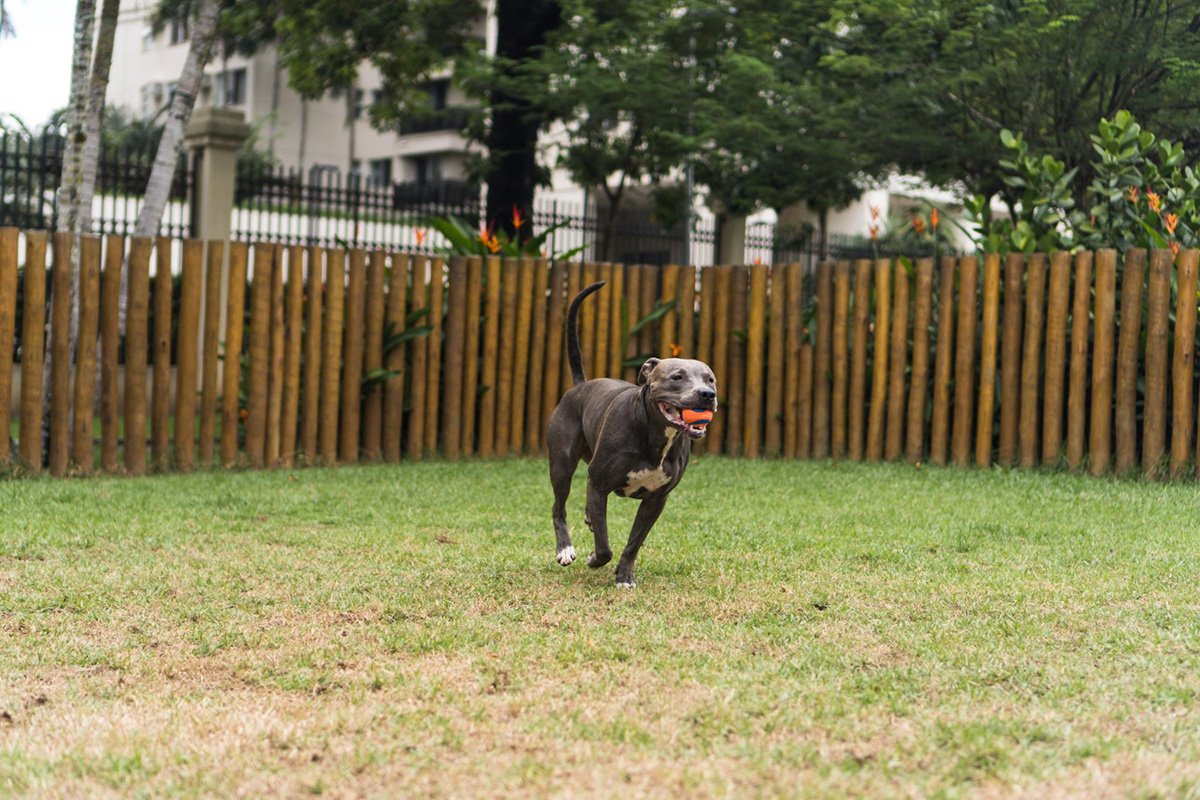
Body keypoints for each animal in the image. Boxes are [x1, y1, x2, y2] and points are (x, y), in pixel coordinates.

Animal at [547, 281, 720, 587]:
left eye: (710, 379)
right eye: (677, 377)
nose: (707, 395)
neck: (655, 435)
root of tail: (580, 386)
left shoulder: (656, 499)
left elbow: (634, 542)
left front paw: (624, 575)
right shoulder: (600, 484)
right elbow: (604, 545)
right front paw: (595, 559)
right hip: (561, 464)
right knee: (559, 507)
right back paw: (565, 549)